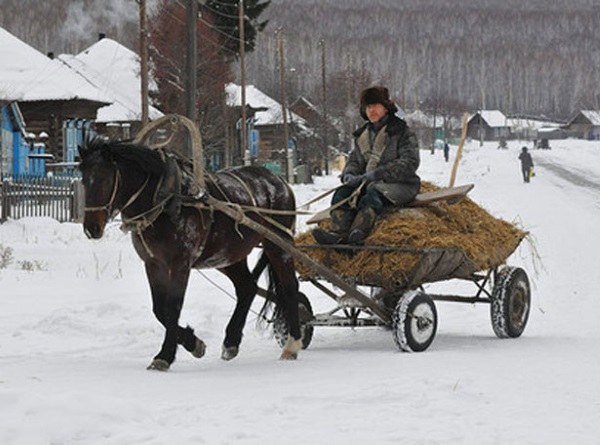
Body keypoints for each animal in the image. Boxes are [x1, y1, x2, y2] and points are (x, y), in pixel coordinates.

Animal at [78, 140, 304, 372]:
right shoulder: (154, 263)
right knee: (247, 287)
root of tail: (279, 181)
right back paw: (231, 342)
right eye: (84, 180)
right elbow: (159, 309)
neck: (164, 199)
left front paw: (165, 355)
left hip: (278, 243)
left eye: (104, 179)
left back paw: (292, 344)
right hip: (227, 254)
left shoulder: (181, 262)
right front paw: (193, 343)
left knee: (289, 287)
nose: (91, 228)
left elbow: (172, 308)